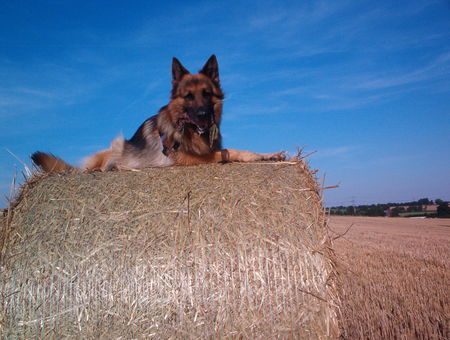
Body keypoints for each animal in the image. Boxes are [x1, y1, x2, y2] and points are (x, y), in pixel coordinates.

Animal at [30, 56, 284, 173]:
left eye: (207, 94)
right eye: (188, 96)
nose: (202, 114)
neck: (189, 130)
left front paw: (271, 155)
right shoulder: (186, 159)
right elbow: (230, 151)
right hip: (115, 146)